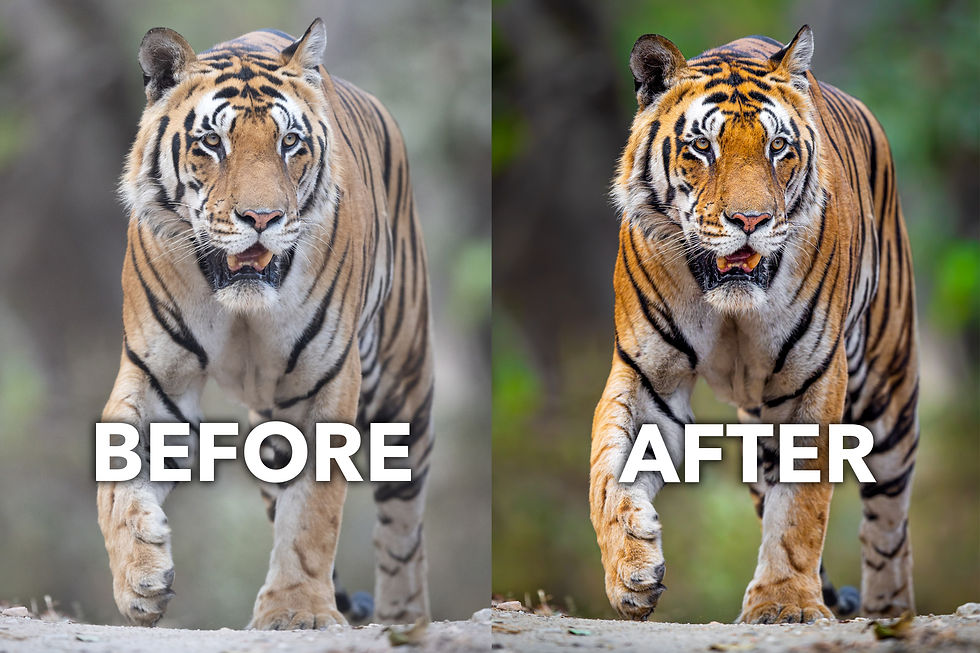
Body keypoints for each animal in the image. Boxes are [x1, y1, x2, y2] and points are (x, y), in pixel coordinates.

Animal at [96, 19, 434, 630]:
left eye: (289, 142)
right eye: (212, 143)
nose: (262, 218)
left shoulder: (328, 381)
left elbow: (313, 513)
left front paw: (297, 611)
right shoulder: (156, 374)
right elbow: (116, 478)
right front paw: (140, 576)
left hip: (404, 383)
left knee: (403, 525)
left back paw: (403, 618)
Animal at [589, 26, 918, 624]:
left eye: (778, 147)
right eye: (702, 147)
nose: (751, 221)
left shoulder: (814, 379)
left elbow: (801, 506)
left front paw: (785, 604)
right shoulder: (648, 375)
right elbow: (608, 472)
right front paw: (630, 569)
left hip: (888, 389)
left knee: (888, 520)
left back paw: (888, 611)